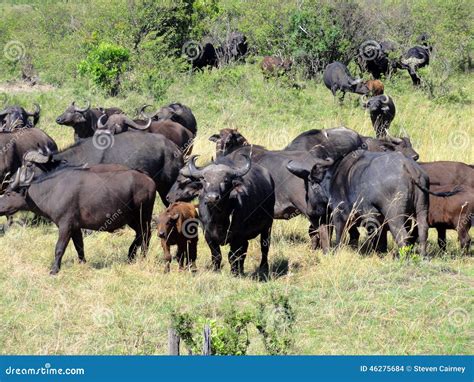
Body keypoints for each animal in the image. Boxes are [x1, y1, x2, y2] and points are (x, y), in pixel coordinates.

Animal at [0, 161, 156, 274]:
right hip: (132, 219)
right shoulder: (76, 227)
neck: (53, 190)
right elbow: (79, 246)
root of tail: (148, 179)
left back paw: (142, 257)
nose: (0, 207)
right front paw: (82, 263)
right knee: (140, 234)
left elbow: (59, 248)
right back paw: (130, 256)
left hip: (143, 216)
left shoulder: (65, 226)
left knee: (146, 234)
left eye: (8, 193)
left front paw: (54, 269)